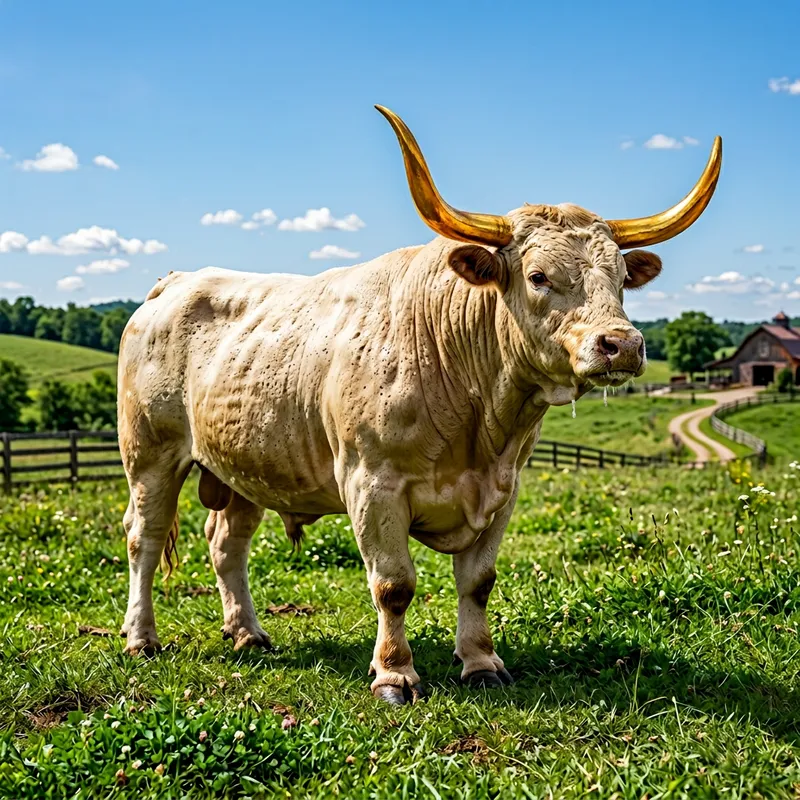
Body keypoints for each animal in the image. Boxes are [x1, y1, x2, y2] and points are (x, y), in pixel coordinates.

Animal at [117, 105, 721, 705]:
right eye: (538, 276)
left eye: (621, 278)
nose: (623, 344)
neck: (480, 423)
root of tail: (172, 283)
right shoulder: (372, 484)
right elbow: (394, 584)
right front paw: (394, 673)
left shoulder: (503, 492)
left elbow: (478, 582)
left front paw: (481, 662)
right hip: (150, 455)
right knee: (143, 538)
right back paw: (141, 638)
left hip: (247, 465)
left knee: (227, 544)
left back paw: (247, 632)